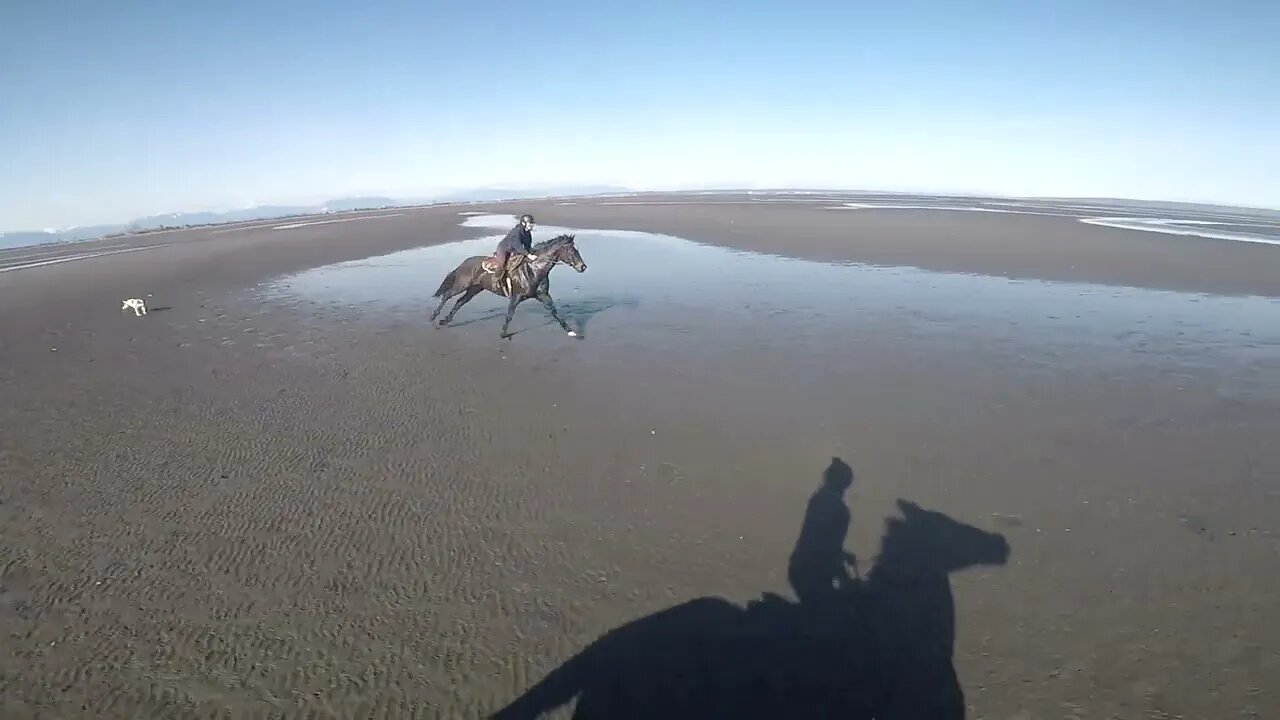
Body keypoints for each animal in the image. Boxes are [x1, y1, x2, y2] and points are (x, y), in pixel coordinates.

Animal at [430, 233, 588, 338]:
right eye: (571, 250)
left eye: (577, 250)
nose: (583, 267)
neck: (534, 269)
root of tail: (464, 262)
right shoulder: (516, 296)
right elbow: (510, 315)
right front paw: (503, 333)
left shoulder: (543, 295)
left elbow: (554, 311)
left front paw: (570, 330)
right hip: (462, 285)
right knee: (446, 296)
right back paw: (433, 317)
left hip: (474, 289)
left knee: (459, 302)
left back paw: (444, 321)